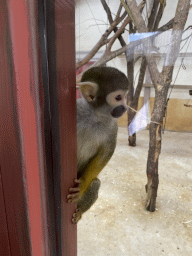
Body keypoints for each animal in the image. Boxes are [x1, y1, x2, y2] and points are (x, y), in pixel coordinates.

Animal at [67, 66, 128, 224]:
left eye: (125, 97)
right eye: (118, 98)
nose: (125, 107)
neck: (95, 116)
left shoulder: (113, 127)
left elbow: (105, 153)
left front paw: (80, 187)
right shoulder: (77, 109)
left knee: (95, 184)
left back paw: (80, 211)